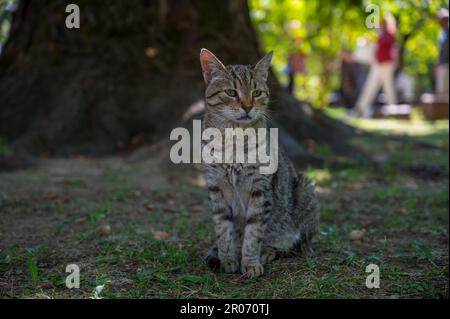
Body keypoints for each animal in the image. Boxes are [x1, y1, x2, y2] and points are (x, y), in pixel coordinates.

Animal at [200, 48, 320, 278]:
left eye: (256, 93)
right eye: (231, 92)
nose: (247, 107)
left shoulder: (260, 188)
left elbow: (253, 232)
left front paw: (250, 262)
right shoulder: (216, 187)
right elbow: (224, 230)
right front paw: (228, 258)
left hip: (304, 188)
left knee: (295, 242)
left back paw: (268, 250)